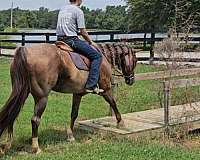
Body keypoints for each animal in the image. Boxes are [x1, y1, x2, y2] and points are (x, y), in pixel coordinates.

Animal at [0, 42, 137, 154]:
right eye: (135, 61)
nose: (131, 80)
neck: (103, 57)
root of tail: (25, 51)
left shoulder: (77, 94)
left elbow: (74, 114)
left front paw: (70, 135)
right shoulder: (106, 90)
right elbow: (113, 103)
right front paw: (120, 122)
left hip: (21, 92)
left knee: (12, 114)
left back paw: (7, 145)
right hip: (41, 97)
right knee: (35, 120)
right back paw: (36, 147)